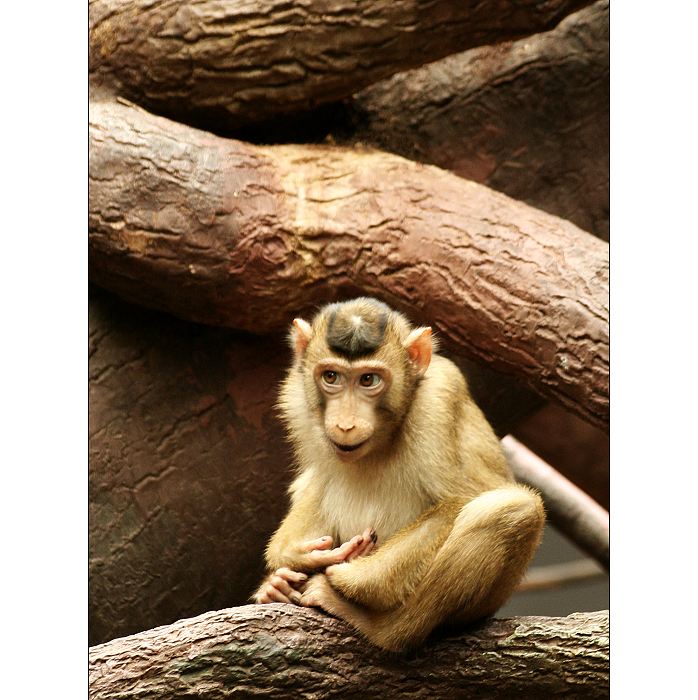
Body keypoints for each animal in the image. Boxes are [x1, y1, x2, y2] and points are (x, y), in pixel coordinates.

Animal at [253, 297, 545, 652]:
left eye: (368, 380)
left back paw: (382, 627)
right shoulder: (295, 401)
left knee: (513, 509)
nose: (345, 424)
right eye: (331, 376)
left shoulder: (438, 399)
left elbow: (460, 500)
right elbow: (314, 480)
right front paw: (288, 561)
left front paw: (350, 575)